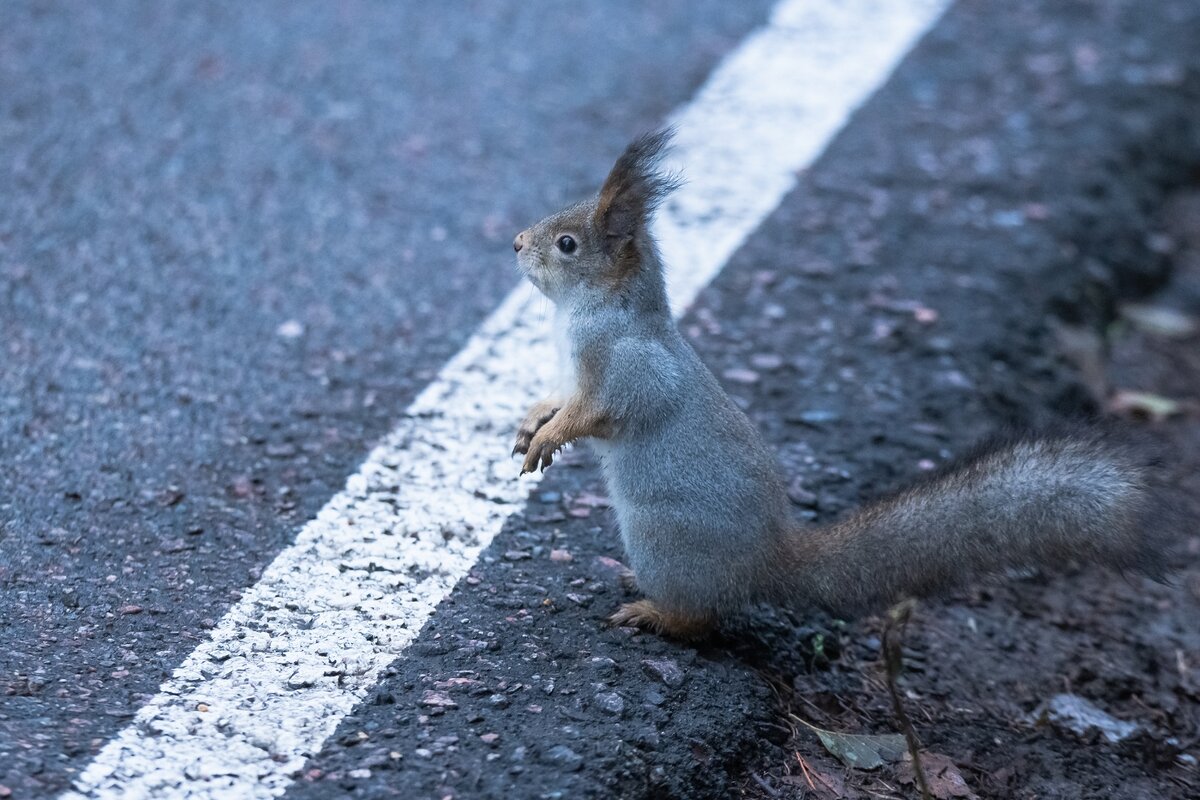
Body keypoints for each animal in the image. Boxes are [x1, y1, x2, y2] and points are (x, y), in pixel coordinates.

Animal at [508, 133, 1171, 642]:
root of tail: (770, 566)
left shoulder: (629, 364)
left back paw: (653, 611)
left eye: (567, 244)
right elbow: (560, 397)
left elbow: (603, 410)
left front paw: (552, 436)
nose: (515, 242)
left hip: (663, 540)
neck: (586, 312)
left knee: (703, 617)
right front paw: (533, 420)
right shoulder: (571, 370)